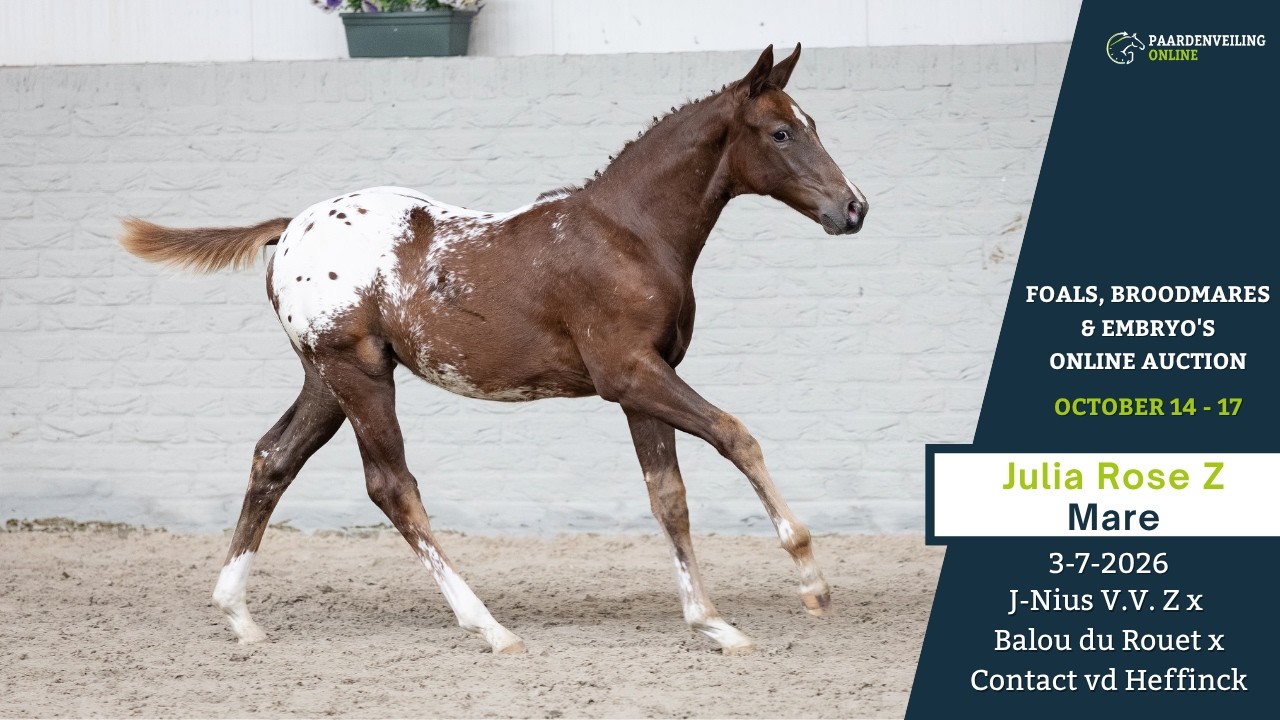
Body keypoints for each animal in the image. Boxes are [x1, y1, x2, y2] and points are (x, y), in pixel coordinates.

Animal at [120, 43, 868, 655]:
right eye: (781, 132)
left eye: (814, 124)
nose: (853, 208)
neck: (628, 233)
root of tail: (289, 228)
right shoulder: (630, 374)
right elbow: (736, 436)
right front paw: (811, 580)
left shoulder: (644, 382)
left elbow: (669, 496)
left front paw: (713, 623)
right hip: (358, 375)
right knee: (391, 486)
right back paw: (489, 626)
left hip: (326, 379)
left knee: (273, 459)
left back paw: (238, 615)